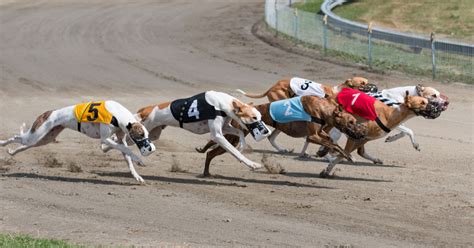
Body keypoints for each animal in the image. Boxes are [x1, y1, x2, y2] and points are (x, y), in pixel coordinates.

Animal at [0, 100, 156, 183]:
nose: (151, 148)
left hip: (43, 139)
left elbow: (127, 157)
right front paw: (139, 160)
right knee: (17, 137)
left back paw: (12, 152)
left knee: (23, 145)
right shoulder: (105, 139)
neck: (117, 114)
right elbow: (127, 149)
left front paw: (137, 176)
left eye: (147, 134)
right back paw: (2, 143)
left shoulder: (120, 139)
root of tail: (49, 112)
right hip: (36, 135)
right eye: (140, 134)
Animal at [133, 90, 270, 170]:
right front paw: (252, 164)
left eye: (260, 116)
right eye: (254, 117)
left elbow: (240, 132)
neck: (222, 103)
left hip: (153, 134)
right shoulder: (217, 135)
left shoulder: (225, 127)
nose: (266, 131)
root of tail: (146, 110)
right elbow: (235, 152)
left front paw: (242, 145)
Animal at [194, 95, 368, 176]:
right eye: (351, 122)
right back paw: (206, 172)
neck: (322, 108)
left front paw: (332, 154)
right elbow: (334, 144)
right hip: (235, 138)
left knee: (210, 151)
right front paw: (348, 156)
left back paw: (206, 172)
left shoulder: (320, 133)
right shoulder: (312, 136)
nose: (363, 132)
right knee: (211, 152)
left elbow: (332, 142)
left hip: (234, 138)